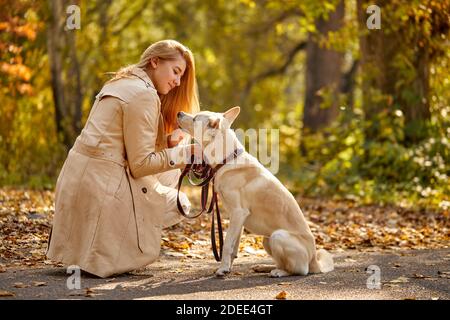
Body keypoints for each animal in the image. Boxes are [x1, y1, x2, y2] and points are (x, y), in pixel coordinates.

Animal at [176, 107, 334, 278]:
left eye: (195, 118)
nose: (179, 113)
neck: (227, 159)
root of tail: (315, 262)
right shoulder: (237, 218)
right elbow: (234, 246)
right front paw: (228, 268)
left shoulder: (238, 213)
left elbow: (227, 245)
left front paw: (222, 269)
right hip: (267, 239)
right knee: (282, 262)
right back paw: (264, 267)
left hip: (278, 236)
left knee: (298, 270)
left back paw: (278, 272)